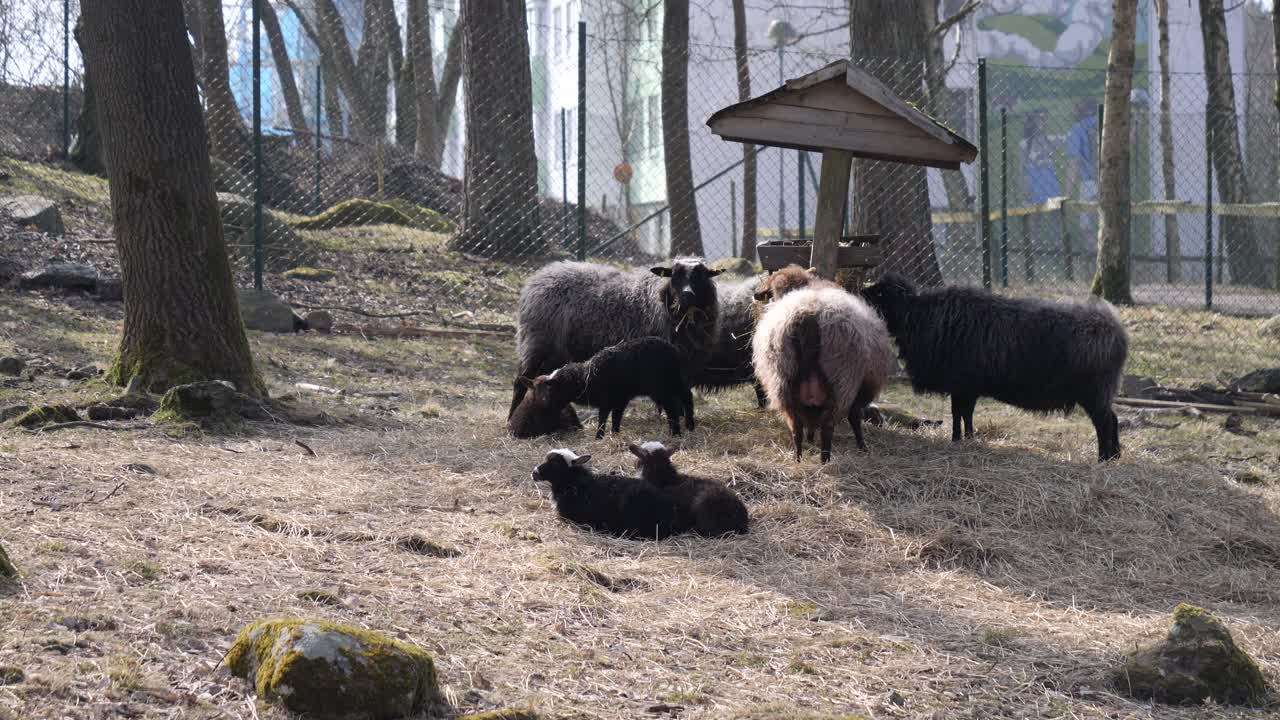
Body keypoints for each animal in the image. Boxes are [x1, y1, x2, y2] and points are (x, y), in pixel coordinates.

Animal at [509, 259, 721, 419]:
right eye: (674, 275)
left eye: (701, 275)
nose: (687, 296)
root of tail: (537, 279)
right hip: (537, 344)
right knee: (521, 382)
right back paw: (512, 417)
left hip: (554, 352)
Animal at [525, 337, 694, 440]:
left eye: (553, 388)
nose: (548, 406)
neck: (587, 378)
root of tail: (673, 351)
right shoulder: (619, 399)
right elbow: (616, 417)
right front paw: (615, 433)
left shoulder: (607, 400)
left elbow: (603, 418)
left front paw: (599, 437)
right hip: (674, 380)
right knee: (686, 396)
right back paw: (689, 426)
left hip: (660, 387)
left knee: (672, 406)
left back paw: (676, 432)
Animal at [752, 284, 895, 463]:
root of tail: (808, 315)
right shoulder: (861, 390)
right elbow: (855, 418)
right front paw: (862, 446)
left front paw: (811, 439)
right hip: (841, 384)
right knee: (827, 427)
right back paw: (824, 460)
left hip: (783, 383)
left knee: (796, 426)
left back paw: (797, 459)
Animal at [860, 272, 1129, 462]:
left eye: (880, 293)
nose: (859, 291)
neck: (917, 315)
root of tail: (1115, 330)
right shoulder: (966, 387)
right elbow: (965, 414)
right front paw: (966, 439)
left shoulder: (962, 384)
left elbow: (959, 413)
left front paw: (957, 440)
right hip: (1101, 392)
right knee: (1113, 419)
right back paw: (1114, 456)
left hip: (1094, 392)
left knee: (1104, 422)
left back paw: (1102, 458)